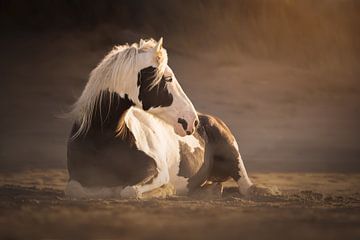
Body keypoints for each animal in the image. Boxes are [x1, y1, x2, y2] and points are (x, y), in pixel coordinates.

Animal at [66, 38, 258, 199]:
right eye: (168, 78)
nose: (192, 121)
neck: (103, 138)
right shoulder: (76, 178)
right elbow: (75, 189)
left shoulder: (156, 173)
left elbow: (129, 190)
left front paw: (165, 190)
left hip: (234, 159)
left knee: (247, 187)